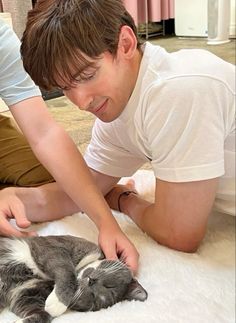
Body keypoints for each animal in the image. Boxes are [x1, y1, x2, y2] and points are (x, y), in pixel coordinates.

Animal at [0, 235, 147, 323]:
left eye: (93, 297)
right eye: (109, 285)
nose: (91, 281)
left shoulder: (27, 292)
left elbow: (42, 313)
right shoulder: (54, 248)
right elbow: (67, 271)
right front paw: (57, 303)